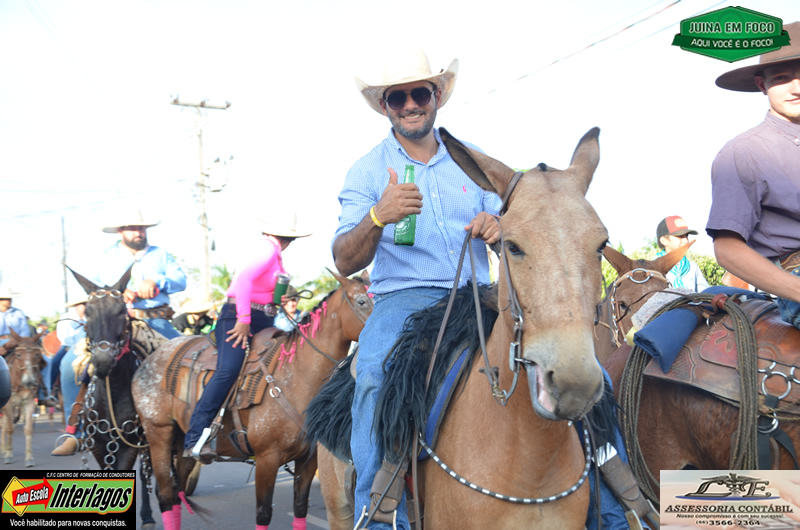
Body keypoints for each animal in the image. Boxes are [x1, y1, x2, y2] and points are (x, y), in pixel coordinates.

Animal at [0, 329, 46, 467]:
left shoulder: (29, 403)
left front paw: (29, 458)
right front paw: (9, 455)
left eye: (37, 355)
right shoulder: (8, 405)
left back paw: (3, 449)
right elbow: (10, 429)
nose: (29, 381)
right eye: (18, 355)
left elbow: (28, 429)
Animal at [69, 266, 170, 529]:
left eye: (121, 312)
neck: (111, 394)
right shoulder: (97, 443)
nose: (102, 362)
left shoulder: (130, 443)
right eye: (88, 313)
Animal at [131, 270, 373, 530]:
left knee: (177, 490)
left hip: (181, 441)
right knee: (166, 494)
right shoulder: (268, 459)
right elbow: (263, 513)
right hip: (158, 433)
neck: (297, 376)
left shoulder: (308, 461)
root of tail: (149, 357)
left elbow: (300, 509)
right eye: (362, 301)